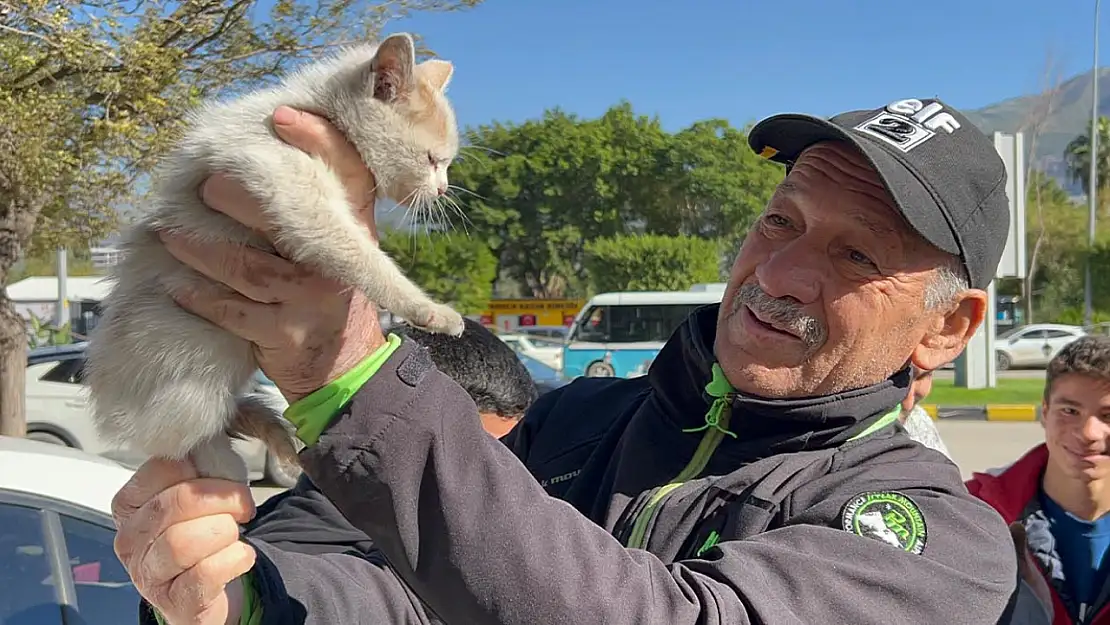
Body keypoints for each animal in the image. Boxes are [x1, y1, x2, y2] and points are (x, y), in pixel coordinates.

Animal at [85, 33, 463, 484]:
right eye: (432, 160)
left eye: (445, 164)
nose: (442, 190)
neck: (320, 109)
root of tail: (108, 406)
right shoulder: (288, 182)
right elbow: (360, 255)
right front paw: (429, 309)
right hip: (193, 361)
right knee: (179, 441)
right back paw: (227, 462)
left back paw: (269, 428)